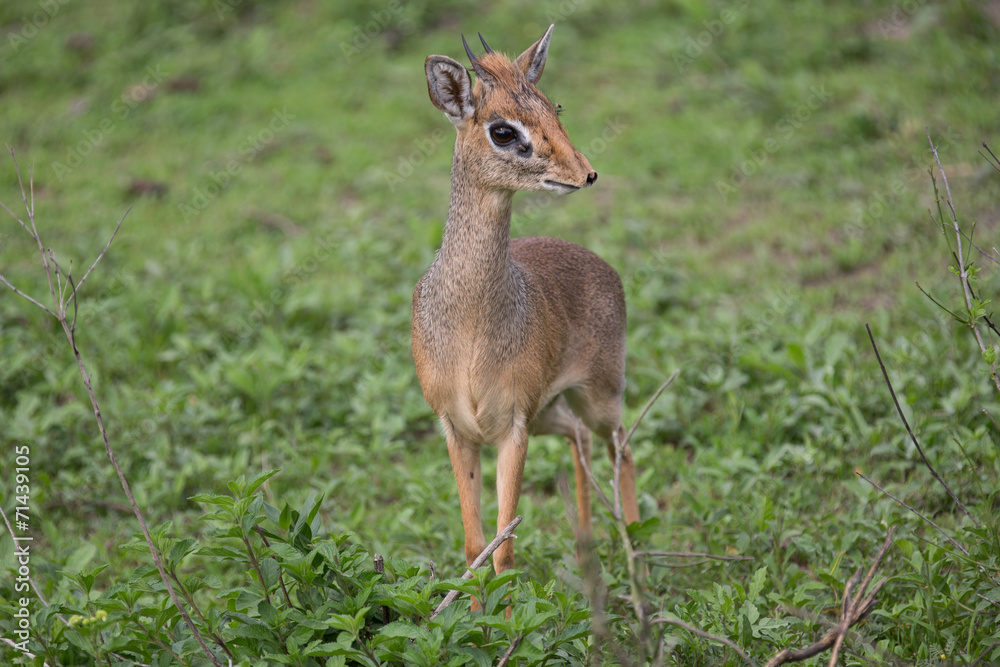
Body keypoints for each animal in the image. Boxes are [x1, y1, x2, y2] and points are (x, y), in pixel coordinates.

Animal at [410, 26, 636, 576]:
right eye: (503, 131)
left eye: (555, 107)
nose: (586, 173)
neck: (470, 326)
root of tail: (602, 264)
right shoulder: (458, 429)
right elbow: (474, 544)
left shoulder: (513, 427)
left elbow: (504, 548)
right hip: (552, 411)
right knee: (580, 439)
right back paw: (587, 549)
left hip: (600, 395)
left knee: (622, 447)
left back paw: (636, 550)